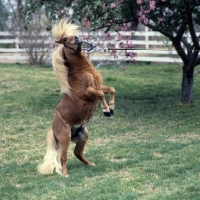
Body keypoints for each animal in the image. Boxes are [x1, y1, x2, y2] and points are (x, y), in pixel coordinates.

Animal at [37, 18, 115, 177]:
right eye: (65, 39)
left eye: (73, 35)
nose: (78, 38)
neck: (82, 70)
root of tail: (53, 129)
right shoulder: (89, 92)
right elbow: (101, 95)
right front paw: (106, 111)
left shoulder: (100, 86)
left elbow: (111, 90)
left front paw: (112, 108)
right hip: (66, 139)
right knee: (63, 157)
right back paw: (65, 174)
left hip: (83, 136)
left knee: (77, 153)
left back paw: (90, 164)